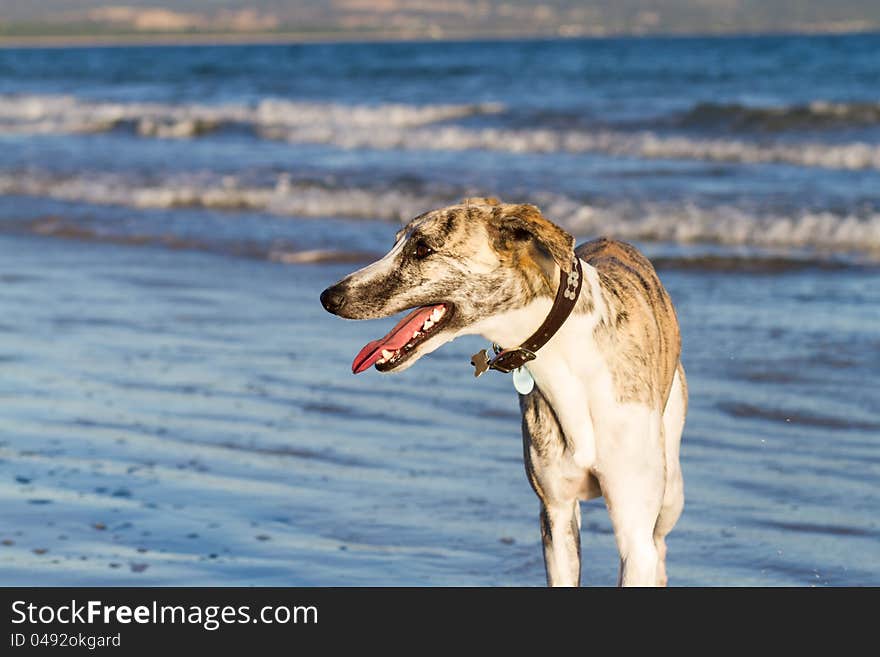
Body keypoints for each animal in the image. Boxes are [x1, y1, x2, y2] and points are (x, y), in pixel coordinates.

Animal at [320, 196, 684, 584]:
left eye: (423, 249)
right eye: (396, 243)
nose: (329, 297)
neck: (570, 357)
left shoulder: (633, 533)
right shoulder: (556, 515)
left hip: (669, 493)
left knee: (659, 546)